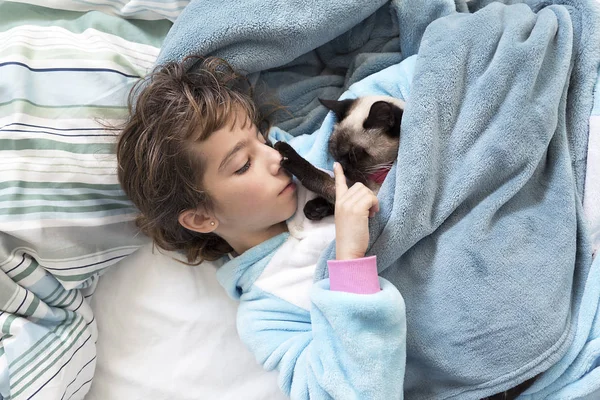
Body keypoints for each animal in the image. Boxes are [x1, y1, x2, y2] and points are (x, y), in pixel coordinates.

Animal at [274, 95, 406, 220]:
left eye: (354, 153)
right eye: (334, 151)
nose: (342, 166)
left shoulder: (374, 196)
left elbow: (324, 180)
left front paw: (286, 152)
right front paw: (315, 208)